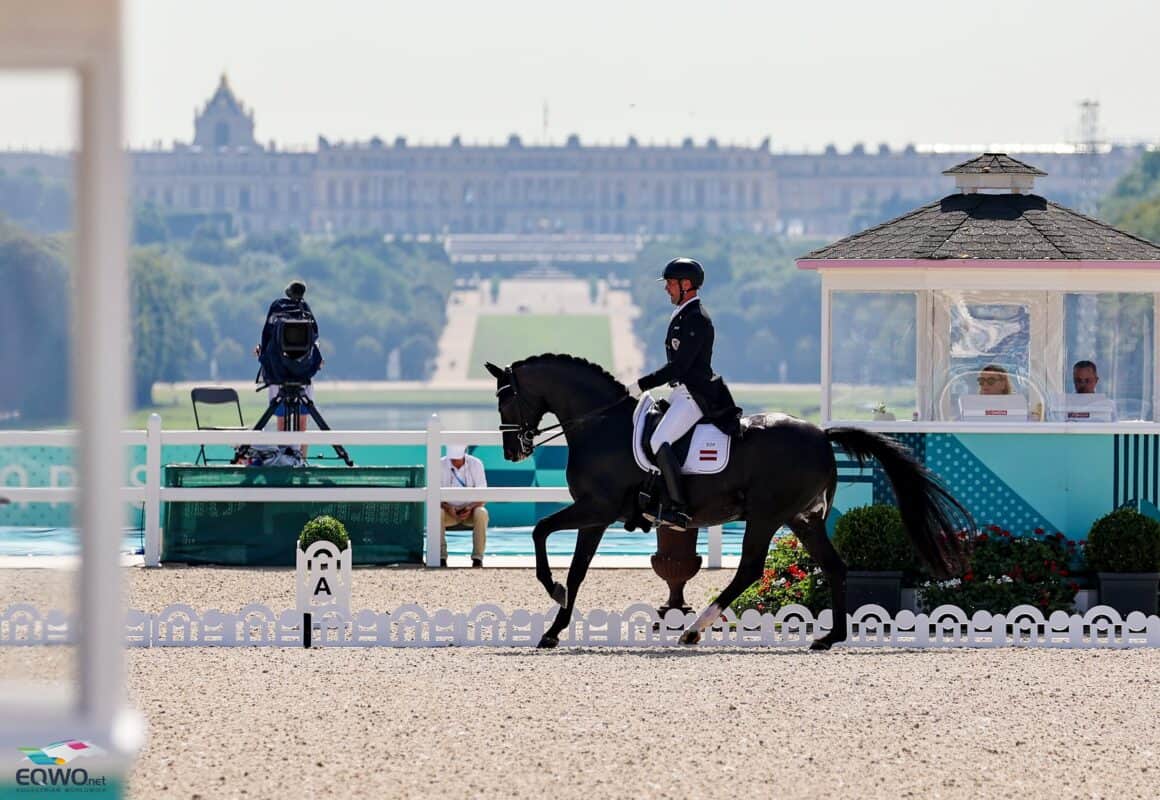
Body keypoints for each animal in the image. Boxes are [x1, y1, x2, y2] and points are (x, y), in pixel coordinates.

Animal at [484, 354, 974, 649]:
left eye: (505, 400)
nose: (513, 451)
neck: (602, 425)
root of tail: (821, 434)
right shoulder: (596, 517)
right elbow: (578, 570)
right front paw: (553, 629)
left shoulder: (597, 508)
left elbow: (541, 531)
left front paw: (552, 592)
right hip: (803, 518)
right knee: (834, 566)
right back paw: (828, 638)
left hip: (767, 515)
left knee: (751, 570)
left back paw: (695, 630)